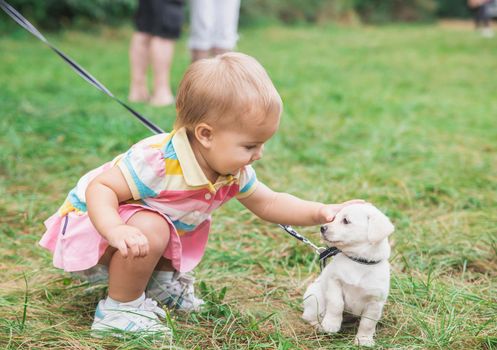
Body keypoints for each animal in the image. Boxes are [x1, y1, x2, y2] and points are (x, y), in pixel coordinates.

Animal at [300, 204, 394, 346]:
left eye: (345, 221)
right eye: (333, 218)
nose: (322, 228)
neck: (359, 261)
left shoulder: (375, 302)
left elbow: (368, 323)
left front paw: (364, 340)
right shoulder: (334, 282)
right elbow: (336, 304)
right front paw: (331, 324)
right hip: (315, 297)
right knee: (309, 316)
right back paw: (320, 326)